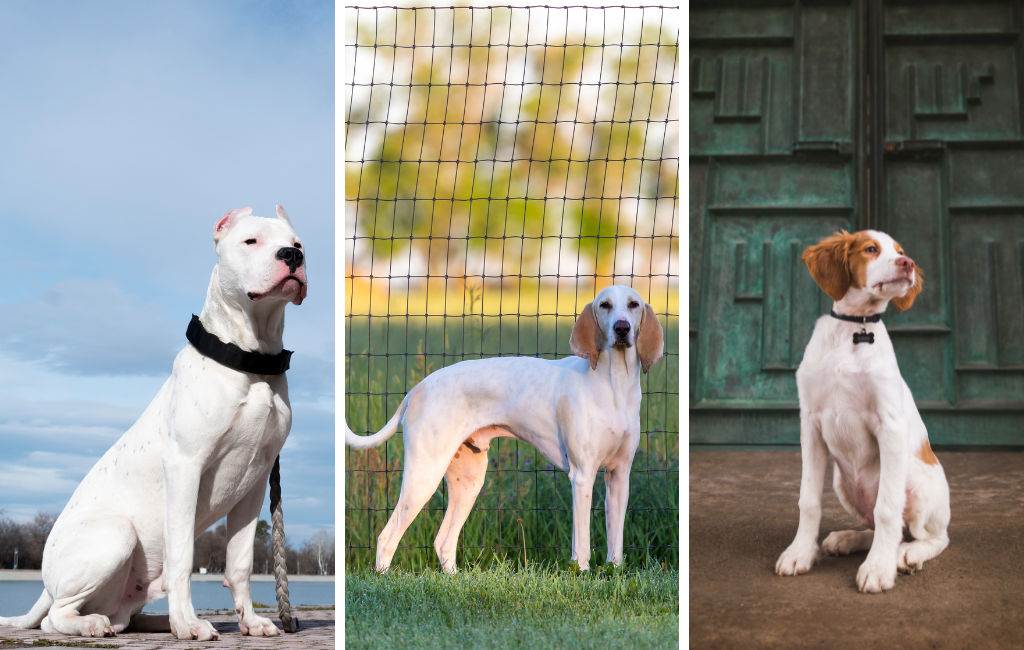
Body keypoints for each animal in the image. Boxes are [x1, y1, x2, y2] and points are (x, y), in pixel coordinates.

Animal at [0, 206, 305, 642]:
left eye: (297, 244)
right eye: (251, 241)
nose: (292, 257)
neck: (251, 359)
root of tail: (44, 583)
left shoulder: (256, 481)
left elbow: (239, 562)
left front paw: (250, 621)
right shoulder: (185, 466)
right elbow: (183, 558)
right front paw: (189, 625)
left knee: (124, 617)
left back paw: (159, 621)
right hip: (117, 533)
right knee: (56, 616)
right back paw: (100, 623)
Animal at [344, 284, 663, 573]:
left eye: (633, 304)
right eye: (605, 305)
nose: (622, 328)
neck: (614, 386)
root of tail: (417, 389)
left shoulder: (619, 477)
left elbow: (616, 542)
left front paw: (614, 571)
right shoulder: (582, 476)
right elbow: (582, 544)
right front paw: (582, 575)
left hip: (469, 482)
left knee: (443, 541)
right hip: (424, 476)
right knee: (387, 537)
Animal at [774, 230, 950, 593]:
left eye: (901, 251)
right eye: (871, 249)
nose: (908, 263)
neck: (856, 328)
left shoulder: (890, 426)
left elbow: (887, 508)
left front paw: (879, 569)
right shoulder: (810, 424)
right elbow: (808, 500)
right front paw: (800, 553)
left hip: (915, 481)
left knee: (929, 536)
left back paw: (907, 555)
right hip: (842, 483)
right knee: (879, 528)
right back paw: (847, 539)